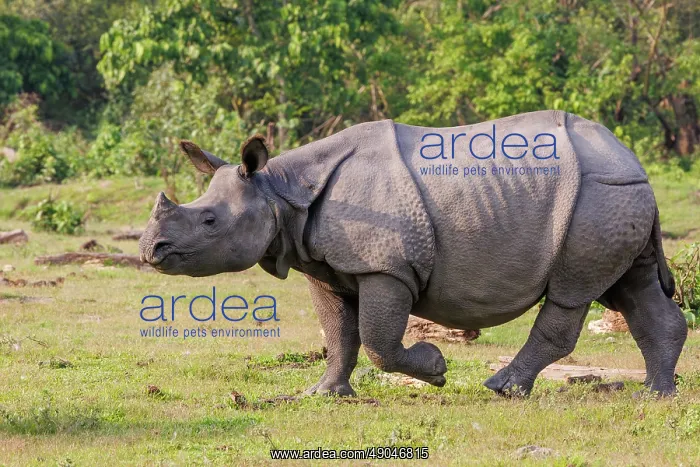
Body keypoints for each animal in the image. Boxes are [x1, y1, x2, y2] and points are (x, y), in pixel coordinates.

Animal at [139, 110, 686, 397]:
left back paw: (501, 388)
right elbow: (340, 335)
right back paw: (655, 395)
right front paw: (325, 394)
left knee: (572, 293)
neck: (280, 191)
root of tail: (632, 159)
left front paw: (436, 368)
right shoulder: (324, 267)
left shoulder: (388, 266)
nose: (150, 250)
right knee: (630, 289)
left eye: (210, 221)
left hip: (596, 199)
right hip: (614, 196)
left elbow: (379, 340)